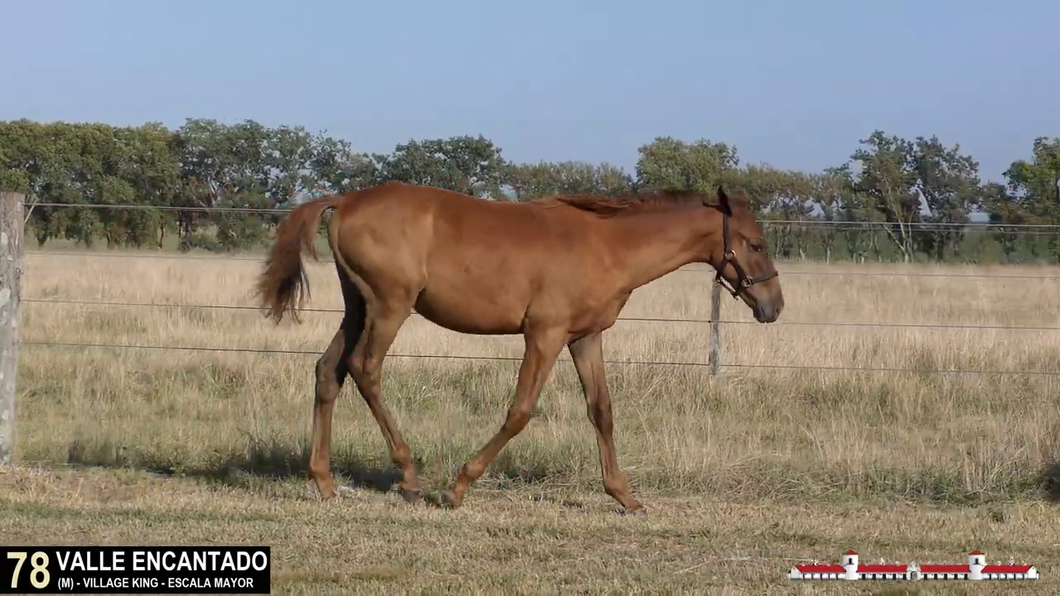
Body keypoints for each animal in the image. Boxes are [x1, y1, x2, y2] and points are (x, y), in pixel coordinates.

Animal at [254, 178, 788, 513]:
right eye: (756, 243)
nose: (774, 307)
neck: (607, 246)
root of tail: (345, 201)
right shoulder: (544, 335)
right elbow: (521, 411)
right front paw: (458, 488)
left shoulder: (585, 338)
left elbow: (602, 410)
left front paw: (625, 496)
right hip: (389, 306)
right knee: (365, 369)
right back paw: (409, 477)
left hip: (357, 307)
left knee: (329, 371)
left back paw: (324, 482)